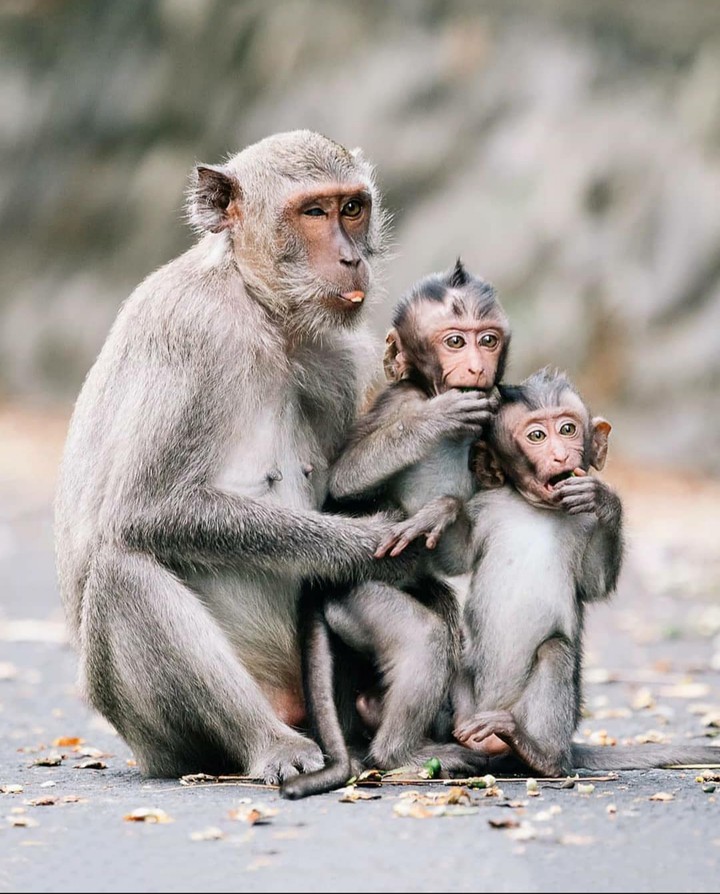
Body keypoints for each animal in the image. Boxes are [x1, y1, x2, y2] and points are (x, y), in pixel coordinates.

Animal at [54, 130, 427, 785]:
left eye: (352, 208)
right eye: (314, 212)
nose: (350, 258)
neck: (262, 310)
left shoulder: (343, 359)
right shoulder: (193, 332)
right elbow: (144, 510)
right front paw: (377, 546)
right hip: (159, 737)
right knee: (123, 568)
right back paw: (270, 744)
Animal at [281, 260, 511, 799]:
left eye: (487, 339)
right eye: (455, 341)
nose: (476, 367)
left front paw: (443, 511)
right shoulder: (398, 403)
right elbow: (344, 483)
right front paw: (438, 421)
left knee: (444, 611)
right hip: (355, 596)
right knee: (423, 637)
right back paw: (401, 754)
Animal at [451, 368, 720, 775]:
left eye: (567, 429)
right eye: (537, 436)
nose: (561, 454)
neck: (535, 507)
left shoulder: (585, 524)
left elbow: (595, 583)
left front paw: (604, 500)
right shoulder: (483, 507)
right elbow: (453, 556)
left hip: (539, 716)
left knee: (555, 651)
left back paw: (538, 753)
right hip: (472, 701)